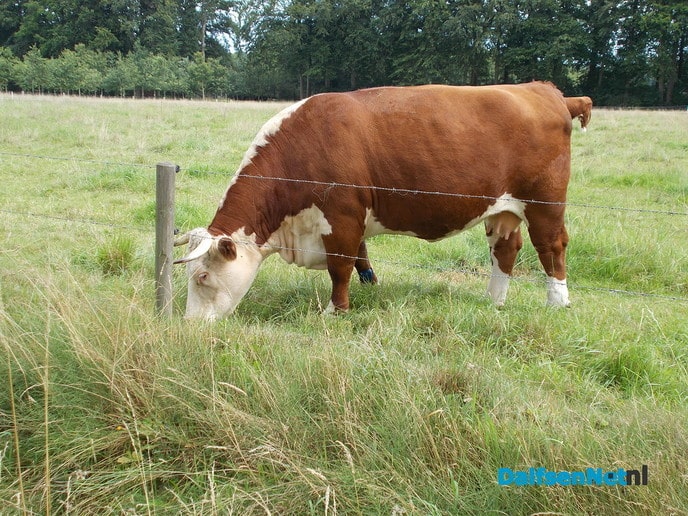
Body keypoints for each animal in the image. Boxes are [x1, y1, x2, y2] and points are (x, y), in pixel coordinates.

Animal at [175, 81, 577, 320]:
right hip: (503, 210)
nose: (189, 325)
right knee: (505, 249)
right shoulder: (352, 220)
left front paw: (336, 312)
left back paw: (557, 303)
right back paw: (494, 300)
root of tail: (543, 89)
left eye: (203, 276)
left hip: (545, 204)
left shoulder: (341, 217)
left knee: (551, 248)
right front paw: (369, 290)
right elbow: (361, 260)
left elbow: (340, 267)